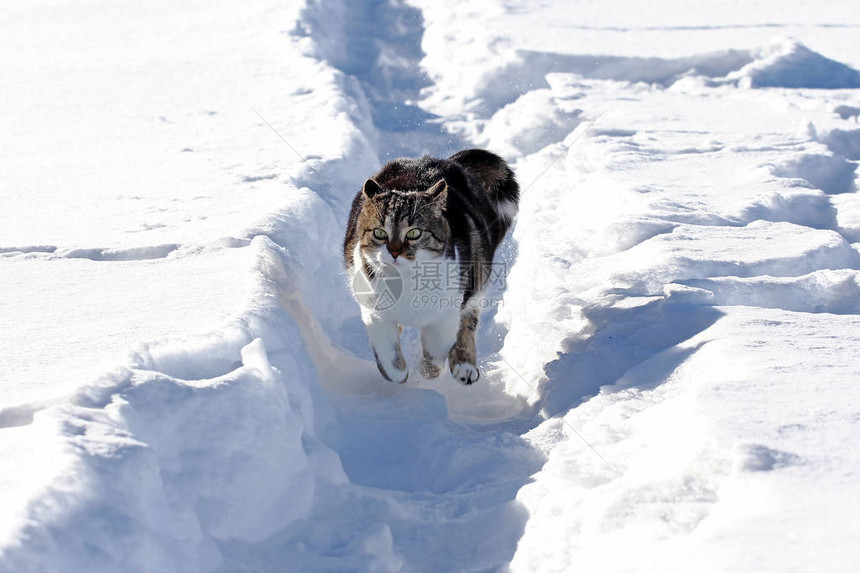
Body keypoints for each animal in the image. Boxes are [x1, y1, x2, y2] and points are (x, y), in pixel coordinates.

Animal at [342, 149, 516, 384]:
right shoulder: (375, 310)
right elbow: (390, 356)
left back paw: (465, 367)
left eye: (414, 232)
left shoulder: (445, 315)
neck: (406, 281)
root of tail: (444, 161)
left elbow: (435, 355)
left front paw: (427, 376)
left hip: (477, 272)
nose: (394, 251)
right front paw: (400, 375)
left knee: (468, 320)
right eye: (379, 232)